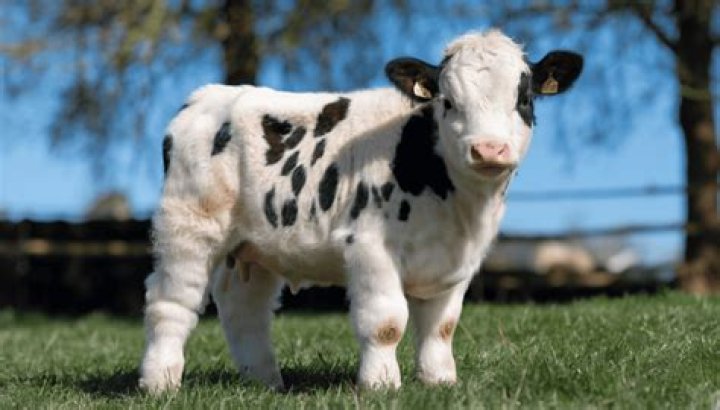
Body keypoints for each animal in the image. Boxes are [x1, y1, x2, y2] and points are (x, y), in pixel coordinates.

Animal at [139, 29, 583, 393]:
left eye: (524, 99)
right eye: (449, 101)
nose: (489, 149)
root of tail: (208, 95)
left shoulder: (459, 261)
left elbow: (441, 326)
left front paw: (440, 381)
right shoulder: (370, 247)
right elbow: (386, 322)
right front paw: (381, 385)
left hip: (253, 246)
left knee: (244, 308)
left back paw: (265, 382)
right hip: (189, 227)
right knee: (171, 302)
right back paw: (160, 383)